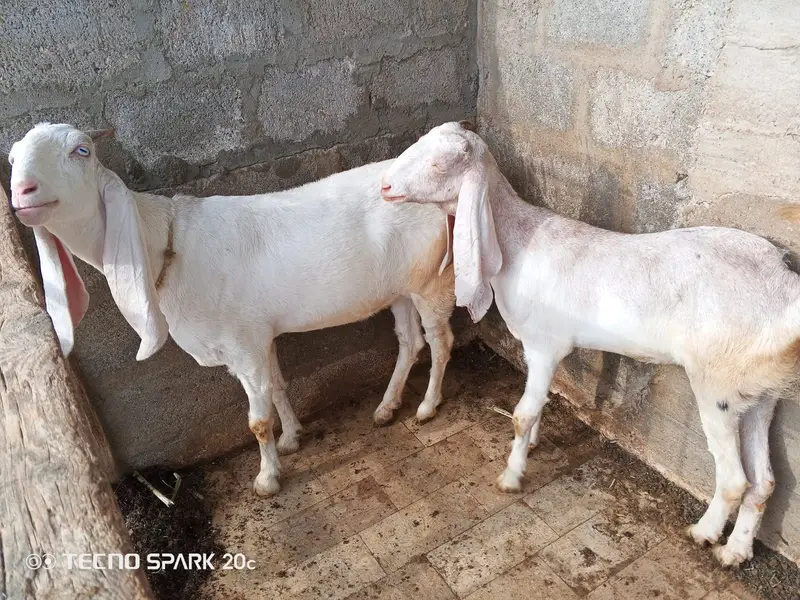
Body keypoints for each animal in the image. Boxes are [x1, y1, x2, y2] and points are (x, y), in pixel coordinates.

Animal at [8, 123, 456, 497]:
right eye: (12, 159)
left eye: (81, 150)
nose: (22, 192)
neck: (167, 245)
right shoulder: (260, 336)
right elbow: (277, 387)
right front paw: (291, 439)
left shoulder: (243, 343)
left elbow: (257, 421)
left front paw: (267, 478)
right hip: (401, 288)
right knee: (410, 342)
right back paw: (386, 407)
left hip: (433, 281)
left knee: (441, 341)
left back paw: (427, 406)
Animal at [379, 120, 800, 567]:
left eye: (440, 164)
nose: (385, 186)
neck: (518, 242)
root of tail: (783, 284)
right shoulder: (540, 349)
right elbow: (539, 403)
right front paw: (533, 445)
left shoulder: (545, 344)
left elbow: (522, 413)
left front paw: (511, 475)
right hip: (757, 391)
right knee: (764, 481)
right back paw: (735, 550)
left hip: (716, 383)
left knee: (735, 479)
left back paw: (704, 533)